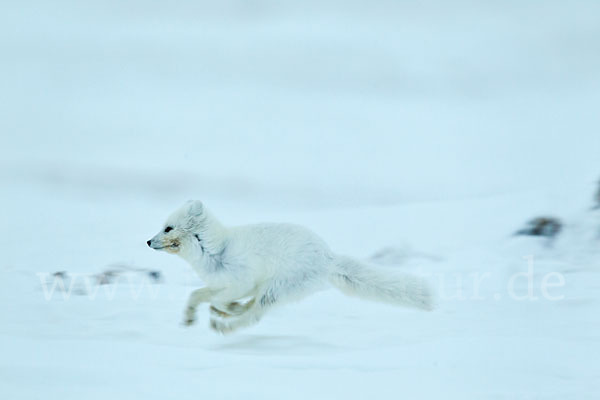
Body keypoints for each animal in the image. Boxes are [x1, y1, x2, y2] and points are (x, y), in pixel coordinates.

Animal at [148, 200, 434, 334]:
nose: (148, 241)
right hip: (272, 288)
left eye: (168, 228)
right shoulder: (225, 283)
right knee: (253, 308)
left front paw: (219, 311)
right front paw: (194, 316)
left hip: (277, 287)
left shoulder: (241, 280)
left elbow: (211, 297)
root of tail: (327, 256)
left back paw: (225, 325)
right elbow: (199, 295)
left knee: (256, 314)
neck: (214, 251)